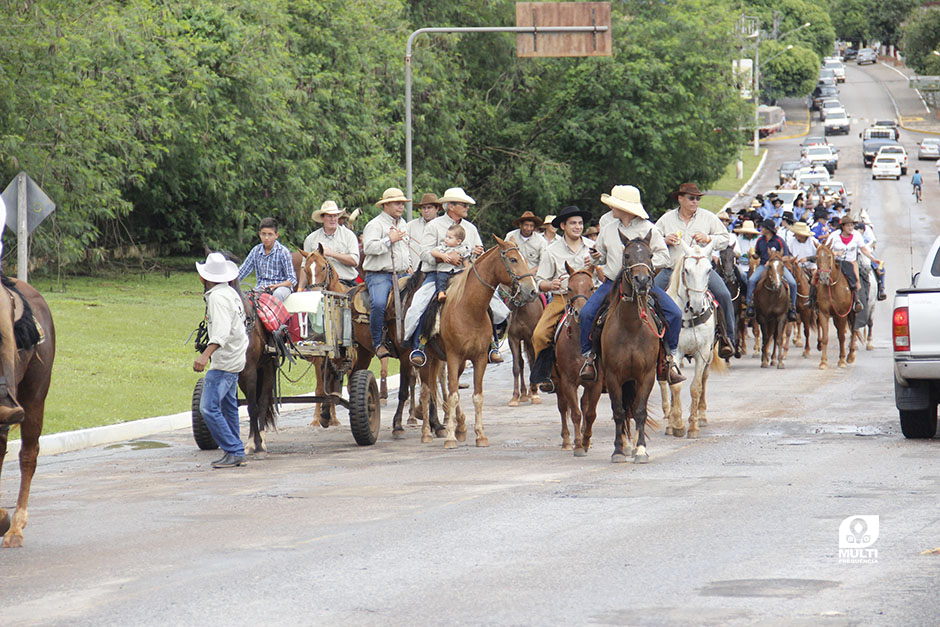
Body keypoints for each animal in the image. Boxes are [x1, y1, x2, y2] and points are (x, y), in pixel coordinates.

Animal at [416, 238, 540, 448]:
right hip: (426, 361)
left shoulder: (479, 358)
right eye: (513, 259)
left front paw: (480, 435)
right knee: (426, 392)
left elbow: (476, 396)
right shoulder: (453, 356)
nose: (532, 291)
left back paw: (459, 427)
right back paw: (426, 433)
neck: (469, 309)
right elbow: (453, 396)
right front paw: (450, 438)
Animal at [552, 264, 604, 456]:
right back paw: (568, 441)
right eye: (569, 288)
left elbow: (590, 413)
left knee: (584, 404)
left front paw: (586, 440)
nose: (581, 313)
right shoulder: (567, 382)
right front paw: (579, 445)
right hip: (558, 381)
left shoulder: (595, 382)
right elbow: (574, 413)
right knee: (563, 406)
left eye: (591, 287)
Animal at [660, 243, 728, 440]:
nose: (697, 305)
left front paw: (693, 426)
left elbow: (695, 388)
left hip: (709, 356)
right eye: (687, 270)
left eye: (709, 270)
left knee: (704, 380)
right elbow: (675, 386)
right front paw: (675, 425)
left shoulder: (702, 353)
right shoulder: (674, 353)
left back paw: (702, 416)